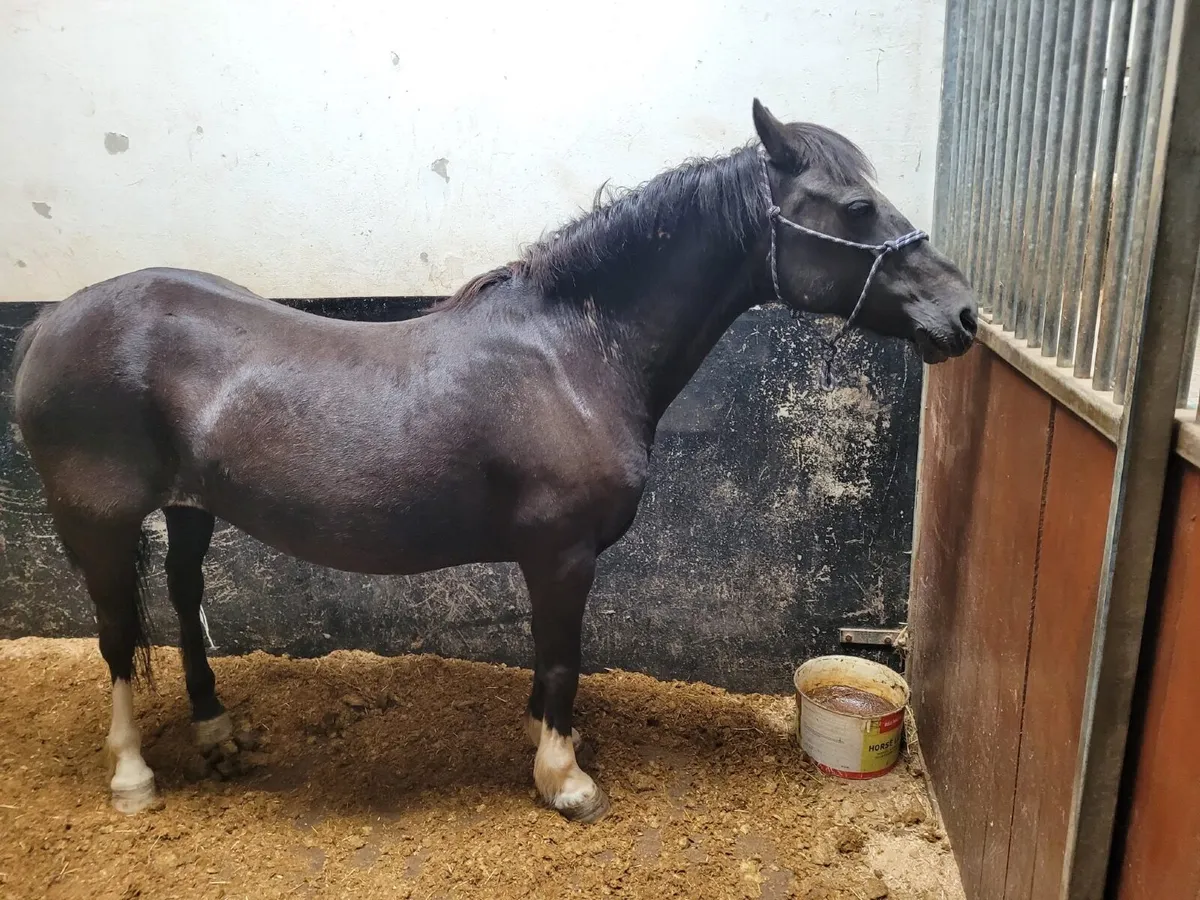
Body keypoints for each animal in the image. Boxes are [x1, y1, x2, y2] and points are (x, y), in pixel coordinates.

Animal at [10, 100, 976, 822]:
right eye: (856, 209)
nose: (962, 314)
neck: (574, 354)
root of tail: (49, 323)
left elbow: (548, 664)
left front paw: (551, 747)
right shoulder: (562, 555)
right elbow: (560, 660)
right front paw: (565, 780)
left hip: (188, 509)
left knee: (181, 602)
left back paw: (217, 734)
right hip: (95, 522)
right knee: (114, 637)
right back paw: (133, 777)